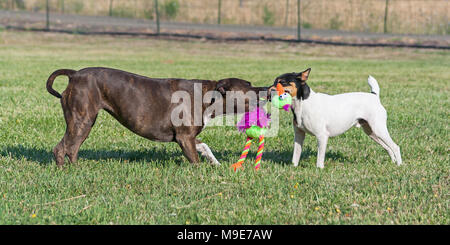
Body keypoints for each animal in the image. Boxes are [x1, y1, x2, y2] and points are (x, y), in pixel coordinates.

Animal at [46, 67, 266, 167]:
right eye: (248, 87)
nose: (266, 88)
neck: (208, 96)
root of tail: (75, 74)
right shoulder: (185, 138)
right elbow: (194, 159)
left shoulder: (190, 138)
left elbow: (204, 146)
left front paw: (216, 164)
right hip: (81, 120)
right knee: (62, 148)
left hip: (85, 123)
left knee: (72, 148)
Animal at [268, 69, 402, 168]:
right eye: (274, 81)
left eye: (282, 82)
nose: (268, 89)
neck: (304, 103)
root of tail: (374, 96)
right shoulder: (299, 135)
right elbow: (296, 154)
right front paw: (294, 167)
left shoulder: (322, 136)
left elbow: (320, 157)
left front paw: (319, 169)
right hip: (371, 132)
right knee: (388, 148)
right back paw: (393, 162)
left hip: (379, 129)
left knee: (395, 147)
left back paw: (399, 165)